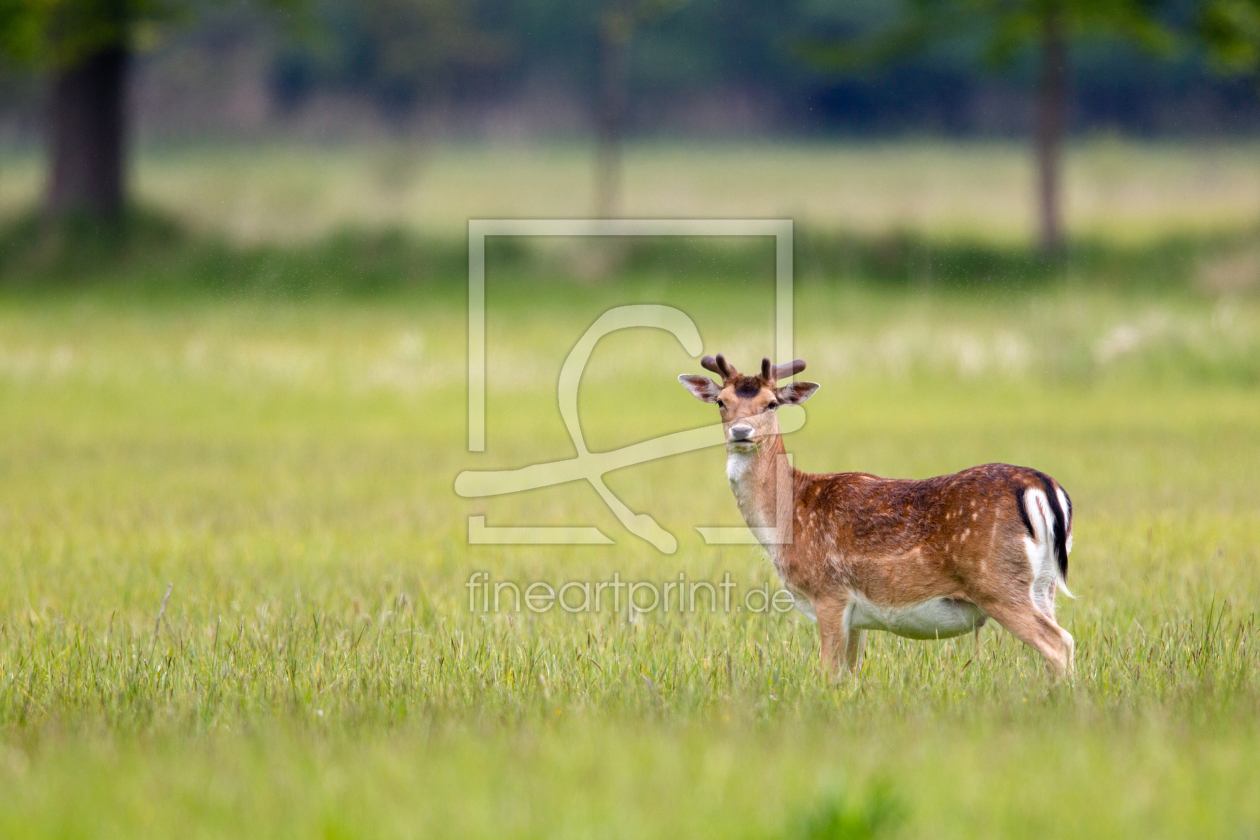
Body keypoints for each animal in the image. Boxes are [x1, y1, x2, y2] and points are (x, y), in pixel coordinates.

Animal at [680, 357, 1073, 685]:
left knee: (1059, 642)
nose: (741, 432)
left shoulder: (829, 592)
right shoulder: (857, 616)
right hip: (1044, 584)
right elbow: (849, 674)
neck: (787, 520)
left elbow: (828, 672)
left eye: (771, 403)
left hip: (996, 582)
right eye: (721, 402)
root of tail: (1041, 486)